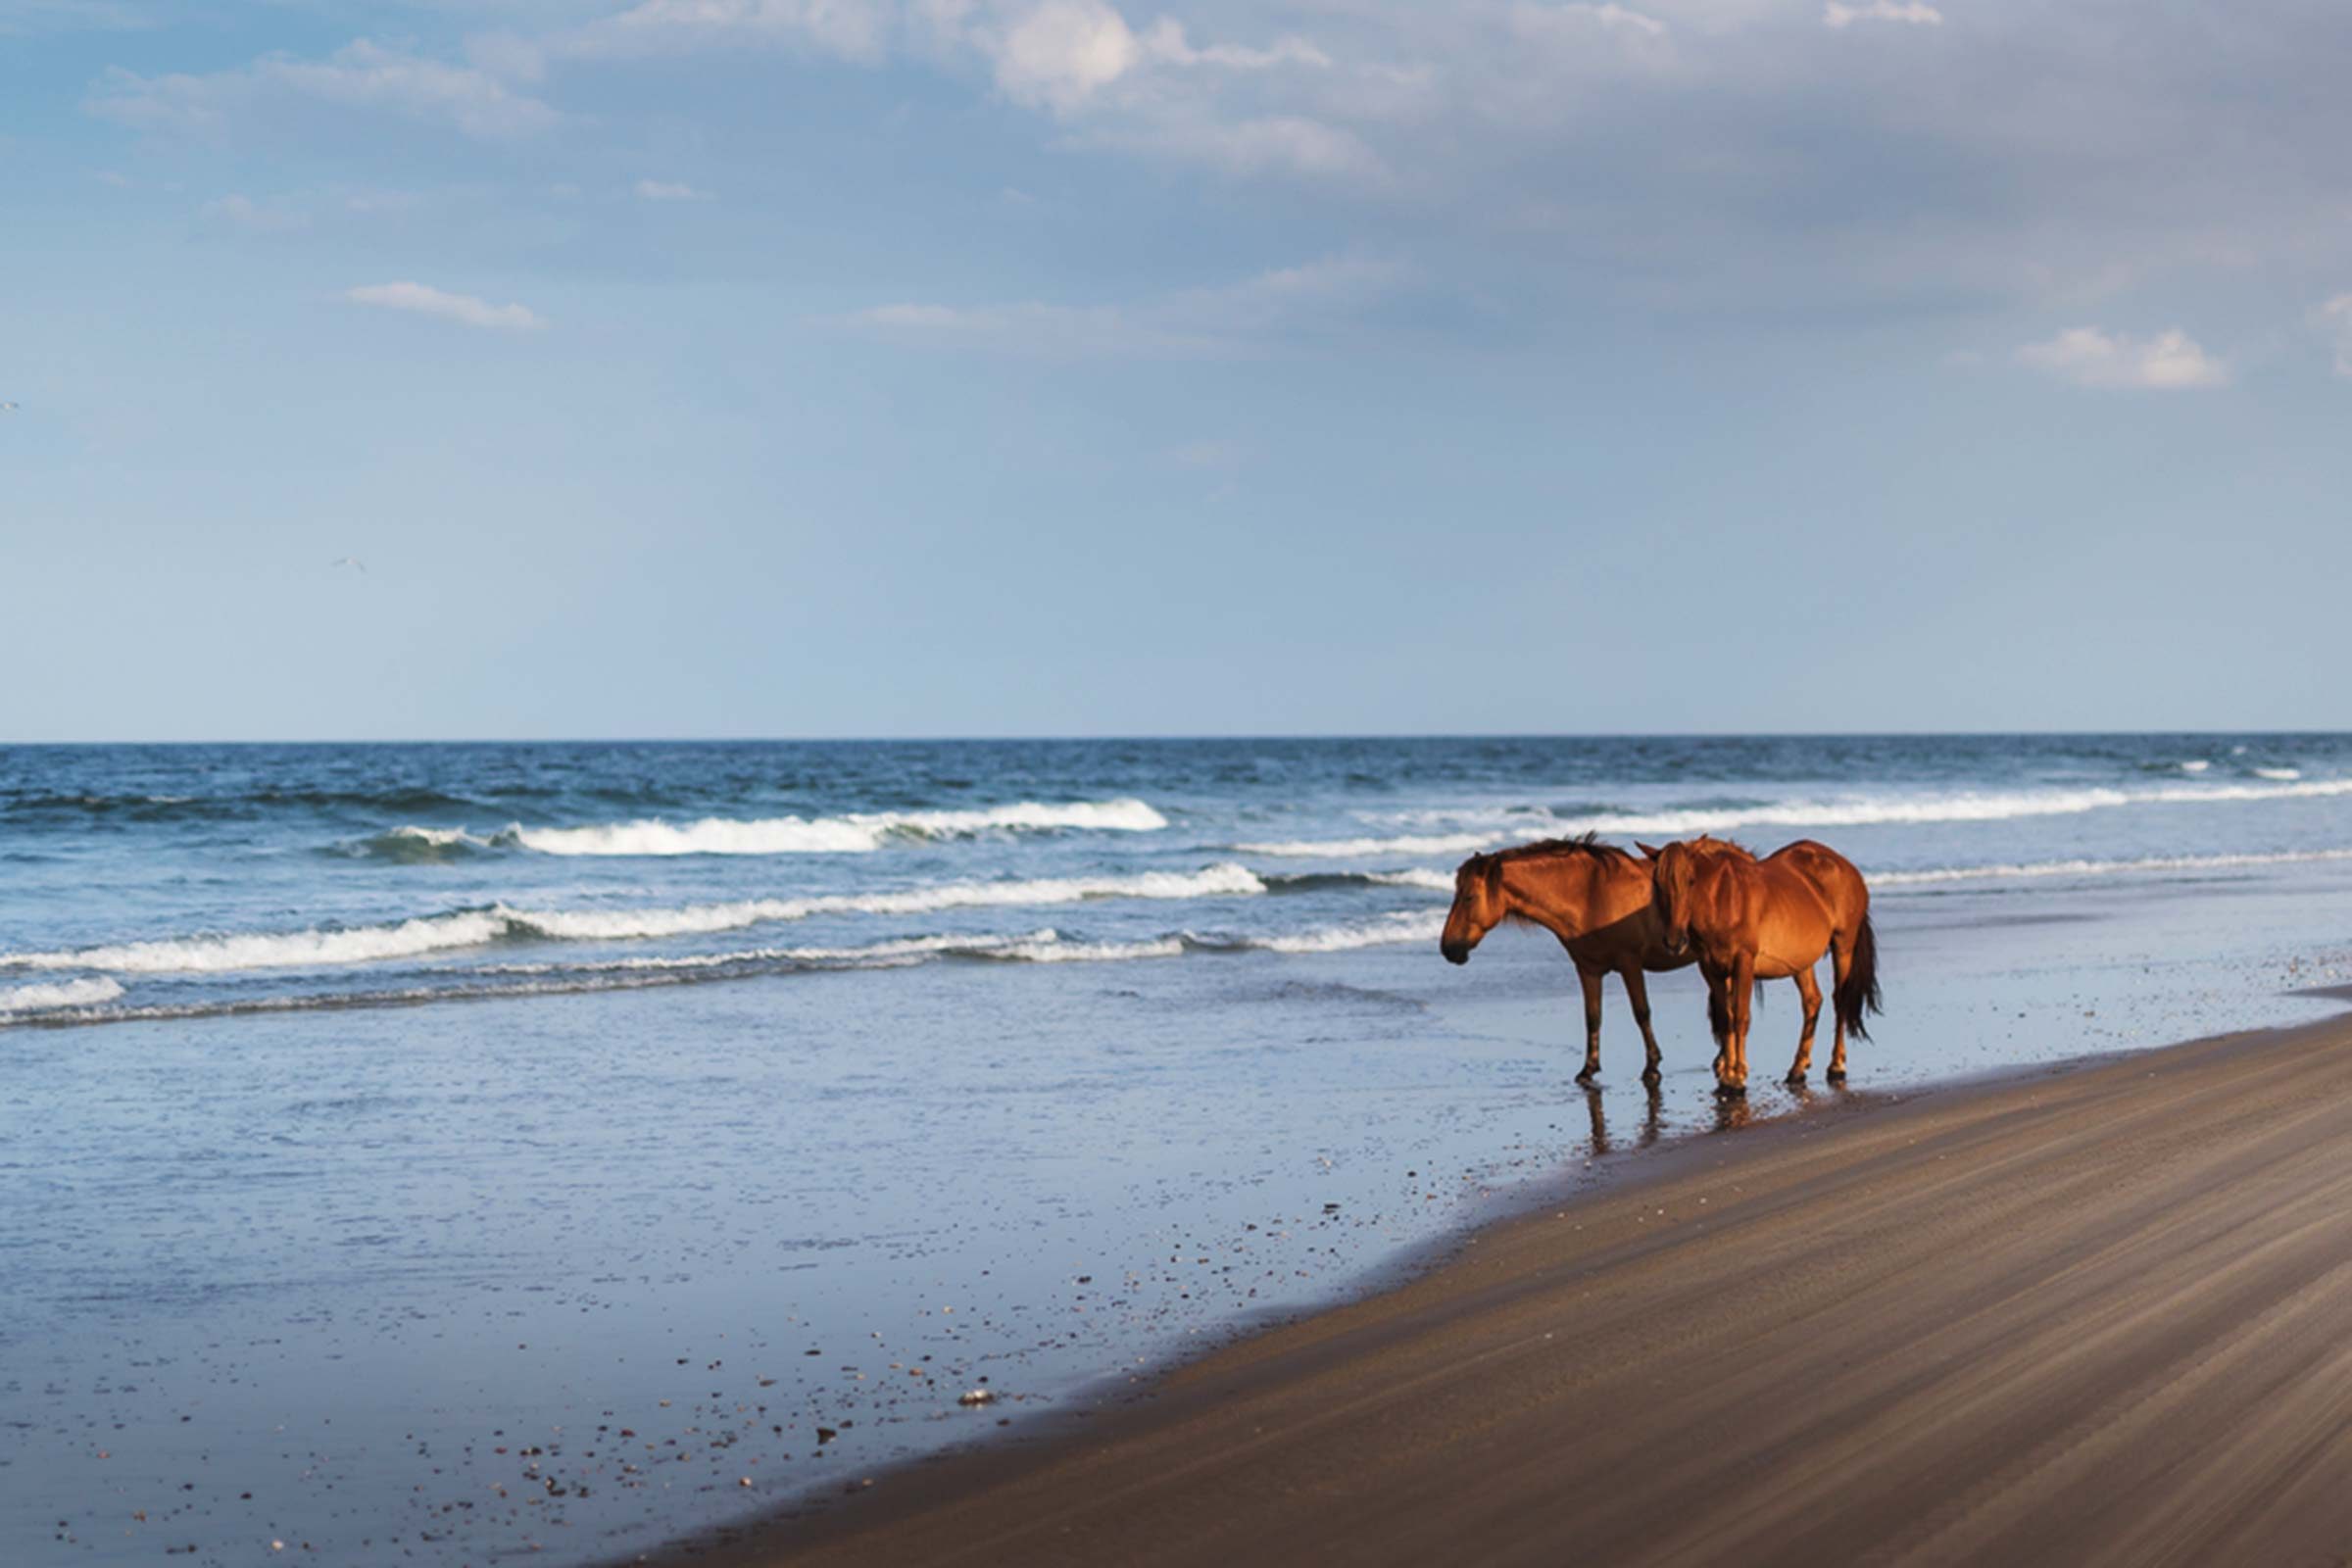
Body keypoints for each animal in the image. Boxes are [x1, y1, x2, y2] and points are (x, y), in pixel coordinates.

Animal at [1440, 834, 1693, 1085]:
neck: (1593, 895)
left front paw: (1652, 1067)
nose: (1447, 948)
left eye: (1469, 897)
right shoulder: (1588, 969)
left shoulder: (1630, 962)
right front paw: (1588, 1069)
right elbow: (1593, 1017)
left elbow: (1641, 1012)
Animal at [1640, 836, 1881, 1095]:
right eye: (1657, 883)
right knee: (1812, 1001)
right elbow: (1726, 1019)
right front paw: (1727, 1076)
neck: (1723, 899)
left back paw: (1836, 1065)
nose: (1674, 941)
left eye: (1691, 880)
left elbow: (1741, 1018)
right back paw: (1797, 1068)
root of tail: (1846, 867)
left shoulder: (1743, 962)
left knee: (1840, 1000)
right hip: (1800, 961)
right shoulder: (1711, 968)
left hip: (1843, 946)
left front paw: (1737, 1077)